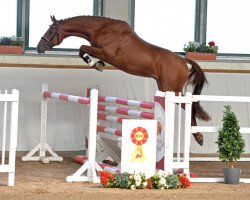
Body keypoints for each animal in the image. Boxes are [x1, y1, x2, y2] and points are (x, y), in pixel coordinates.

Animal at [36, 14, 209, 145]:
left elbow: (82, 48)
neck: (101, 29)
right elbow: (83, 50)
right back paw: (197, 136)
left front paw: (95, 64)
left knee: (190, 105)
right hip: (166, 88)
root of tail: (184, 62)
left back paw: (198, 136)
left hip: (171, 89)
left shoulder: (106, 53)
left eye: (50, 30)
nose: (39, 47)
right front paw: (97, 64)